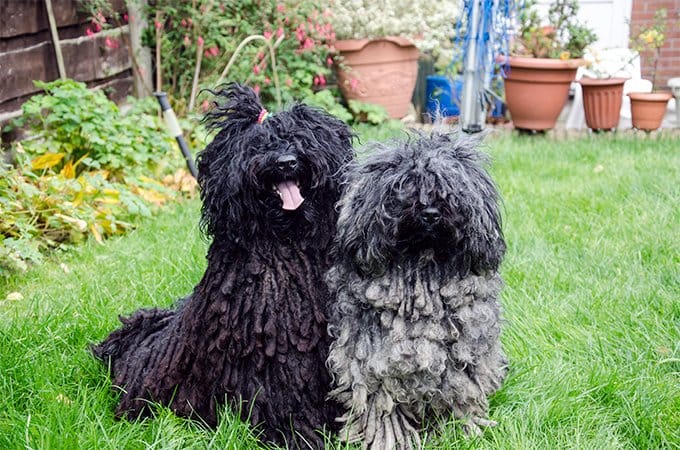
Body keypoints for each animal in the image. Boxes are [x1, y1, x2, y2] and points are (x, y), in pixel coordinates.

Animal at [326, 128, 508, 448]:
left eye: (449, 189)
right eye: (402, 188)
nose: (431, 213)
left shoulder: (465, 354)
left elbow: (462, 391)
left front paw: (464, 431)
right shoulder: (372, 362)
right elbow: (381, 410)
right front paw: (390, 440)